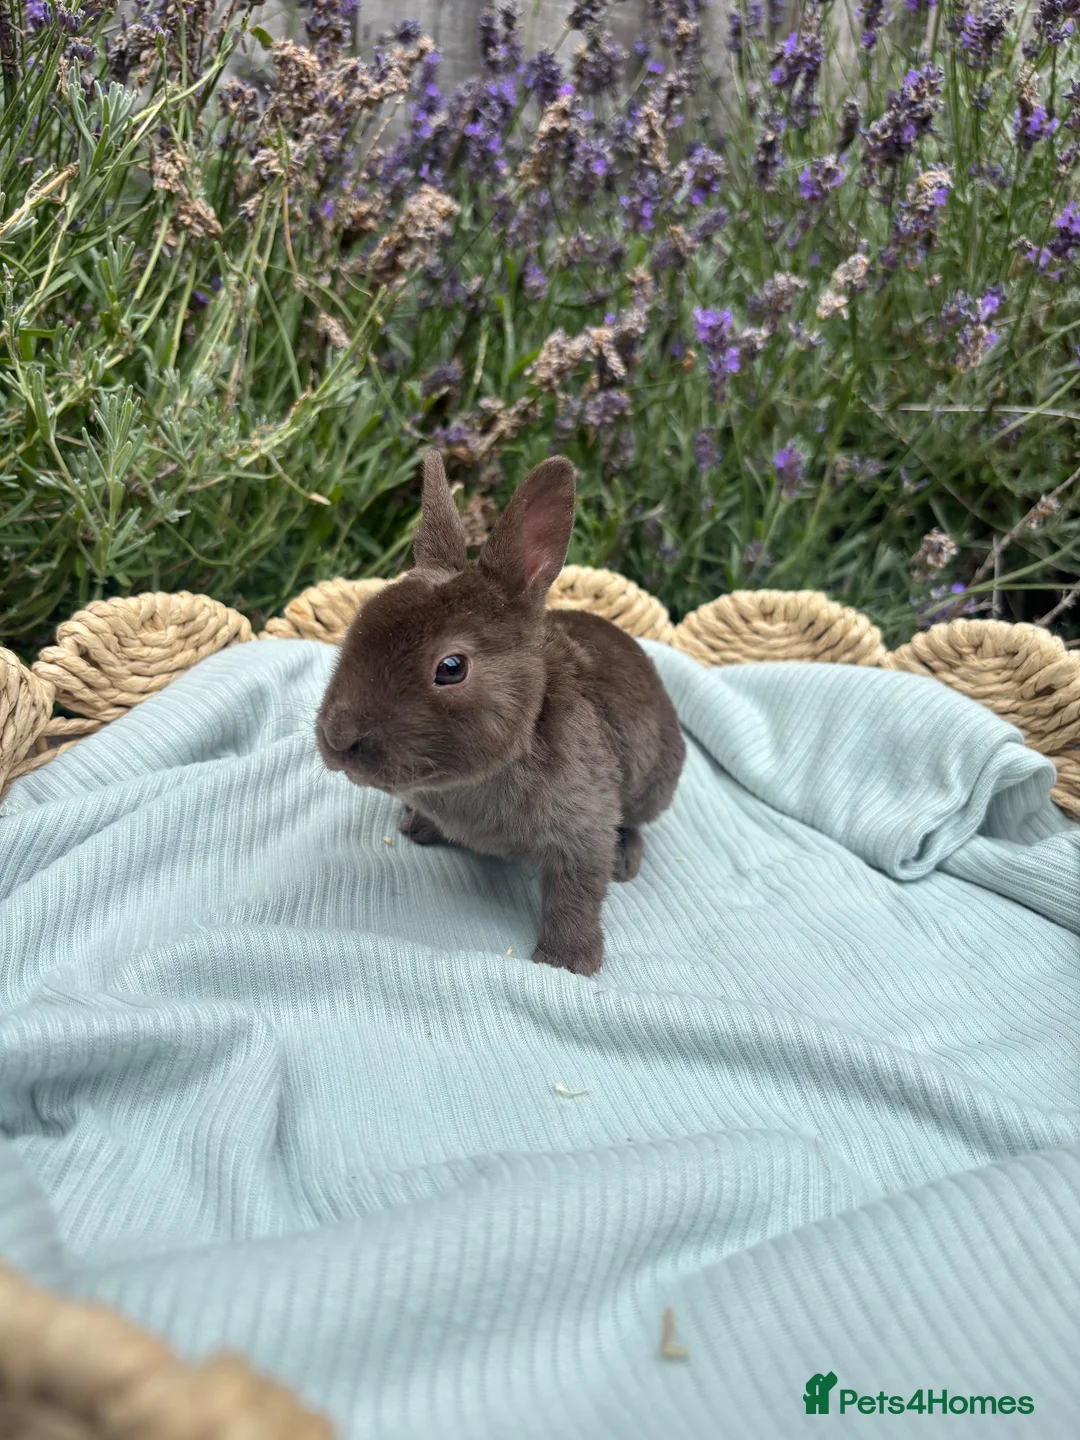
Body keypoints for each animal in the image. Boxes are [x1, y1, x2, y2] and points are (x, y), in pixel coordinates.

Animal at [315, 450, 686, 976]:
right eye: (357, 624)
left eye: (451, 668)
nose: (338, 738)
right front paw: (418, 826)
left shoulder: (584, 829)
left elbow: (576, 892)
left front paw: (569, 962)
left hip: (652, 784)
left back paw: (625, 860)